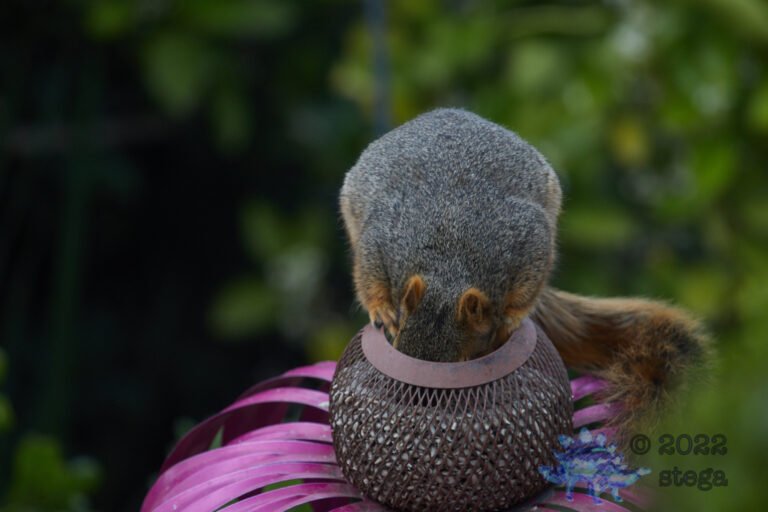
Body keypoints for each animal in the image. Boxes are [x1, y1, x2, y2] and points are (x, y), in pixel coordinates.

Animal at [339, 108, 711, 436]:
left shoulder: (528, 243)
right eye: (398, 343)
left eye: (464, 360)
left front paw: (510, 319)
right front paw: (383, 311)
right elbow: (368, 277)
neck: (449, 264)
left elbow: (527, 285)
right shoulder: (381, 241)